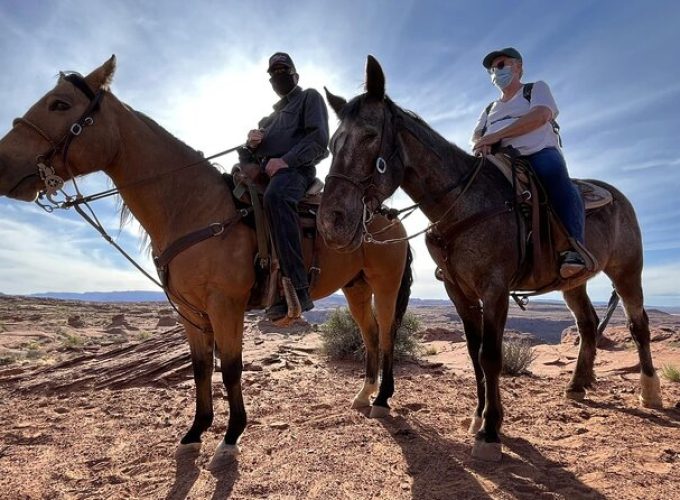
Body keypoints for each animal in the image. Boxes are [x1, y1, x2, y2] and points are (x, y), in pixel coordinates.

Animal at [0, 55, 412, 464]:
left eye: (59, 104)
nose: (3, 161)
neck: (192, 207)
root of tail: (390, 215)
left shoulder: (225, 304)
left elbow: (229, 368)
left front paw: (230, 437)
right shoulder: (191, 311)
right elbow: (200, 369)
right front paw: (195, 432)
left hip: (385, 285)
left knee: (387, 332)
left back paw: (382, 399)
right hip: (355, 287)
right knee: (370, 333)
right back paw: (363, 395)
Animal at [318, 55, 664, 460]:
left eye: (370, 134)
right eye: (332, 143)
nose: (331, 220)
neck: (463, 203)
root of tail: (617, 195)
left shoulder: (495, 289)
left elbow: (490, 356)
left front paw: (490, 431)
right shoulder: (458, 291)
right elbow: (473, 353)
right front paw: (477, 416)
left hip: (627, 270)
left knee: (638, 325)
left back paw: (650, 392)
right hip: (571, 282)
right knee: (588, 324)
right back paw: (578, 384)